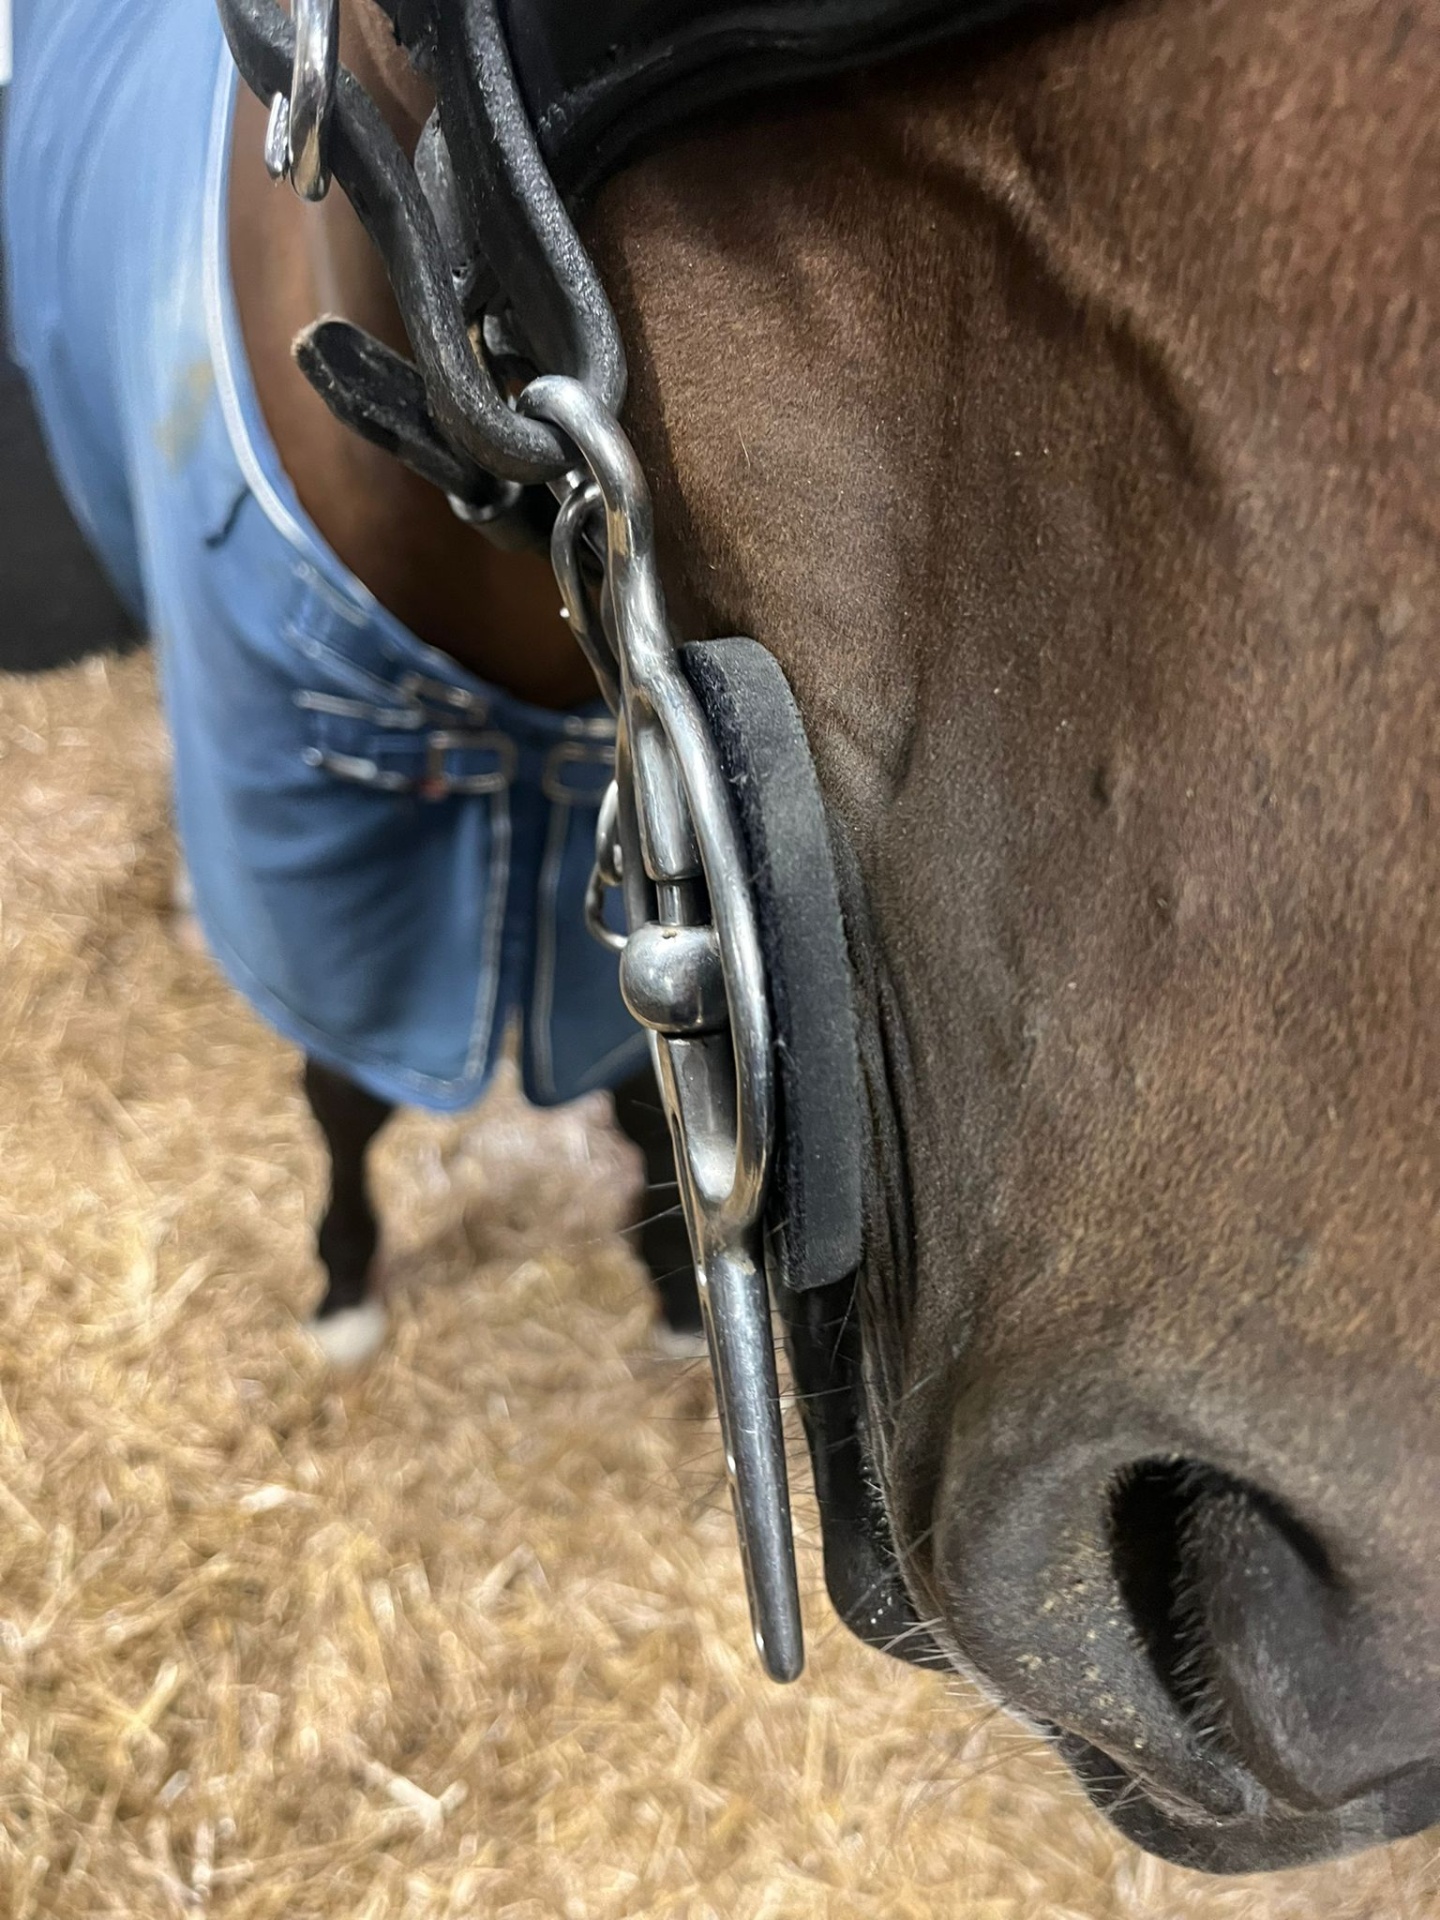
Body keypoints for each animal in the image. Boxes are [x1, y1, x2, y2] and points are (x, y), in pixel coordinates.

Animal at [11, 0, 1439, 1878]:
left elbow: (634, 1085)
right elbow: (346, 1086)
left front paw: (665, 1295)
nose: (1365, 1603)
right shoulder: (327, 851)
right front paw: (341, 1288)